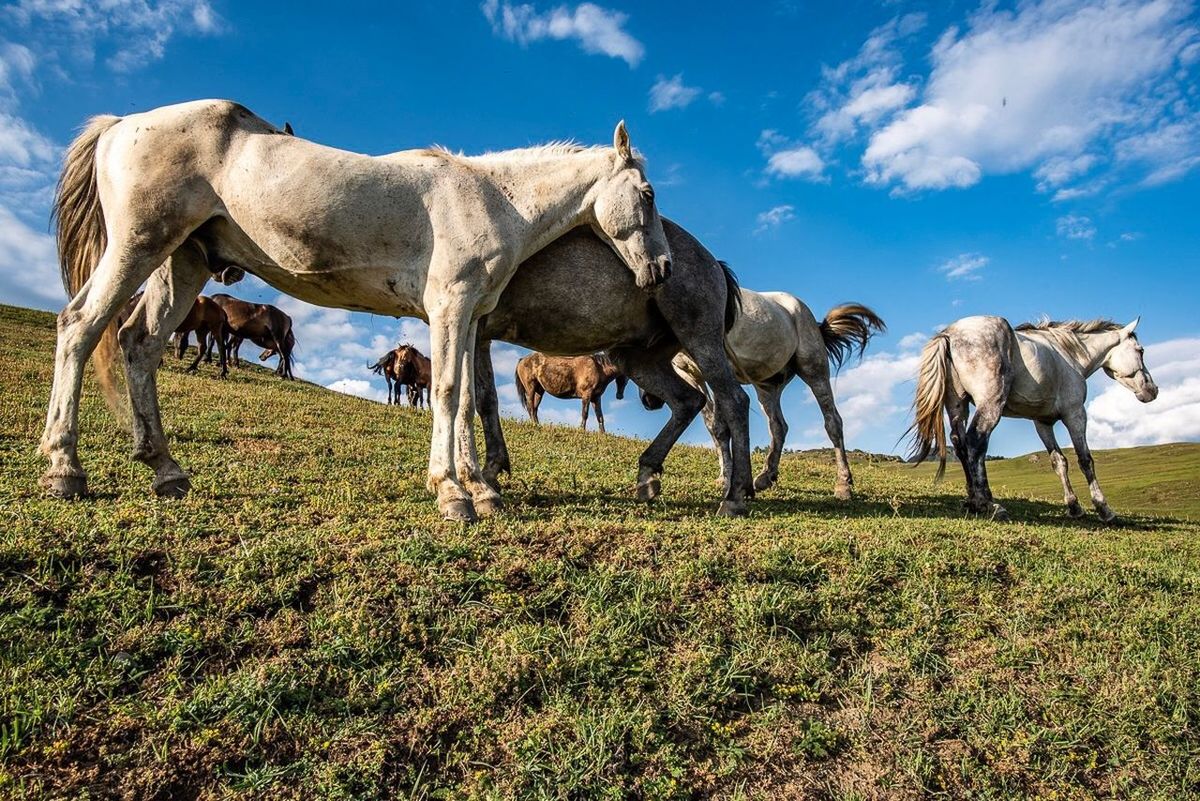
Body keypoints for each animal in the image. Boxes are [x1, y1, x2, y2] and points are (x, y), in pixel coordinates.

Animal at [46, 100, 672, 522]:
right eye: (647, 195)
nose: (662, 268)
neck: (492, 198)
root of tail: (122, 123)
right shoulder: (450, 308)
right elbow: (448, 392)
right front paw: (452, 492)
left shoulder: (470, 318)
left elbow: (469, 400)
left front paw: (480, 488)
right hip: (138, 246)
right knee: (80, 327)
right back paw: (64, 469)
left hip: (183, 262)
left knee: (140, 344)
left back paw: (165, 469)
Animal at [475, 219, 748, 515]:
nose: (650, 402)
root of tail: (713, 262)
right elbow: (484, 400)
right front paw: (489, 476)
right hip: (637, 359)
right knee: (687, 400)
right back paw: (647, 474)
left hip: (699, 338)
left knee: (734, 401)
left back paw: (735, 496)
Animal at [907, 316, 1161, 522]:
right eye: (1140, 351)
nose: (1152, 390)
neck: (1070, 354)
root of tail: (950, 334)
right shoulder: (1075, 413)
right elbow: (1085, 460)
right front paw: (1103, 509)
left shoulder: (1042, 422)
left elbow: (1059, 462)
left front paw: (1074, 507)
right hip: (990, 405)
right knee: (975, 443)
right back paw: (988, 504)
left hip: (958, 407)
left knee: (960, 444)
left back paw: (972, 500)